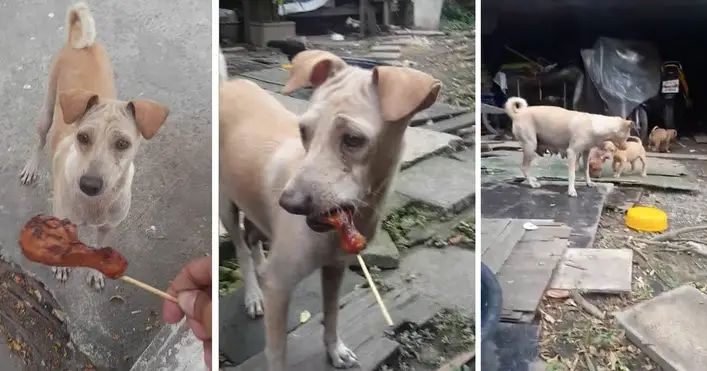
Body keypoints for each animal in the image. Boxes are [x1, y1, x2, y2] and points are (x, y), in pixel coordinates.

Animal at [19, 2, 169, 290]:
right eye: (82, 137)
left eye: (123, 143)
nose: (89, 185)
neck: (95, 204)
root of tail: (82, 43)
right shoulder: (63, 220)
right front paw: (62, 267)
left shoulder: (108, 227)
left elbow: (100, 248)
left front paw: (97, 272)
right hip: (47, 109)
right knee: (39, 139)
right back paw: (31, 167)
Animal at [221, 50, 442, 371]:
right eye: (303, 130)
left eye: (353, 139)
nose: (289, 204)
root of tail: (227, 84)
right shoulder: (279, 288)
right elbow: (276, 350)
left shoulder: (336, 268)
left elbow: (332, 314)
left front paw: (335, 350)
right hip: (225, 207)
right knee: (240, 248)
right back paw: (253, 295)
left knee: (252, 241)